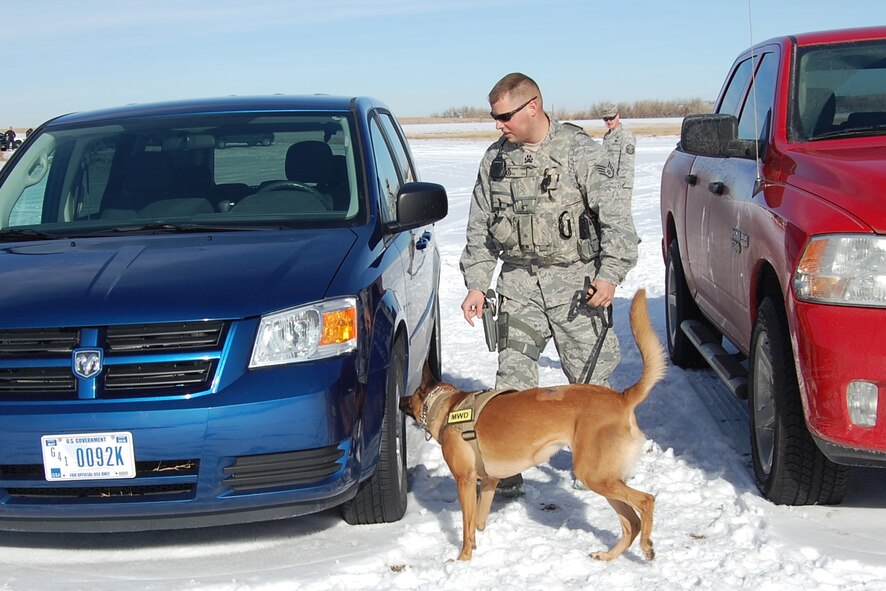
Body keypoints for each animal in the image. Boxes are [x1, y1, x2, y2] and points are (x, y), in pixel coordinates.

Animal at [400, 290, 664, 560]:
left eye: (412, 395)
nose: (399, 400)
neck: (449, 406)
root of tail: (622, 397)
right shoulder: (489, 482)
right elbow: (478, 522)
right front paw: (475, 546)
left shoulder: (465, 480)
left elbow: (466, 527)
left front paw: (463, 558)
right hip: (604, 479)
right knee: (631, 523)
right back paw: (608, 556)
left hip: (595, 476)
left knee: (646, 501)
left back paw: (646, 545)